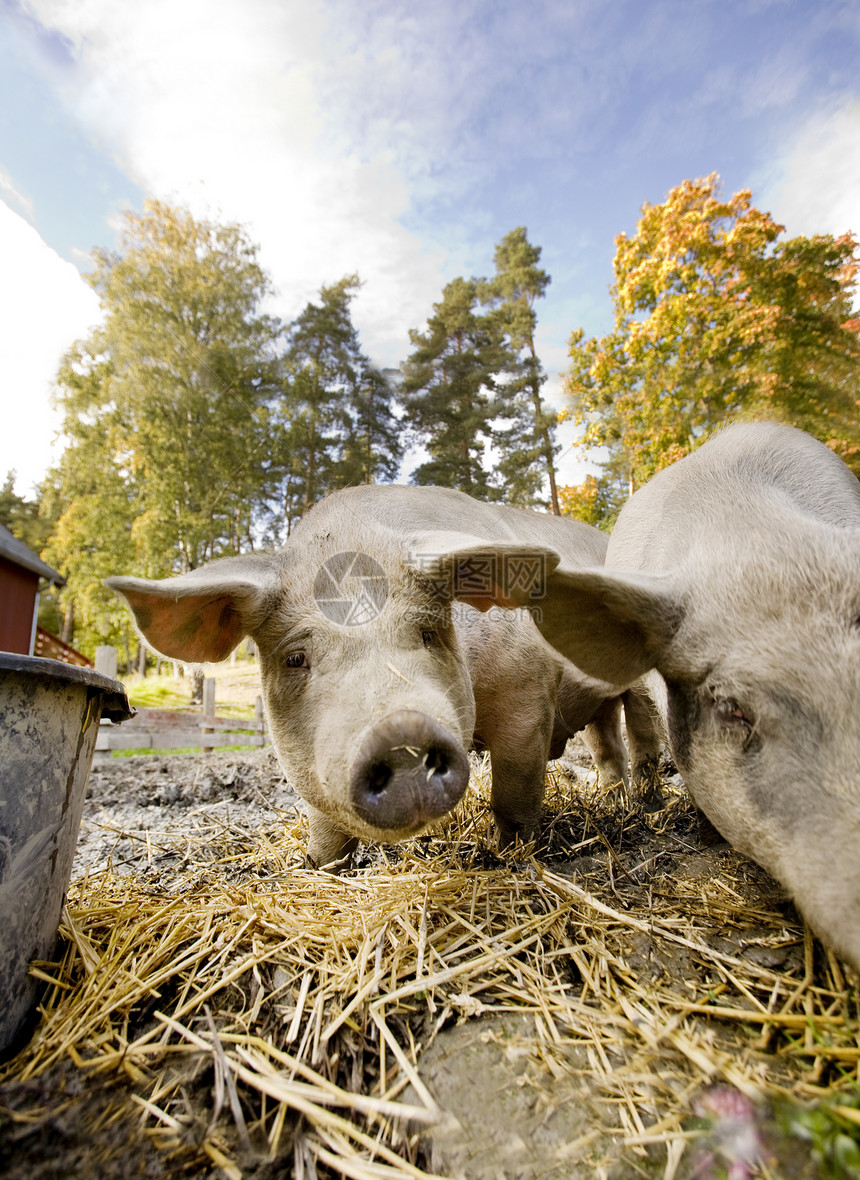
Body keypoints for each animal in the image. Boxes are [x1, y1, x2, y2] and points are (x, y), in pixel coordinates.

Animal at [103, 486, 660, 868]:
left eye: (428, 632)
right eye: (295, 658)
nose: (399, 733)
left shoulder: (526, 693)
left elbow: (514, 793)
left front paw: (507, 856)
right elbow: (325, 828)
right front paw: (319, 868)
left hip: (646, 676)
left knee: (645, 739)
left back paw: (647, 806)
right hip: (599, 704)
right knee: (607, 746)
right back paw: (615, 799)